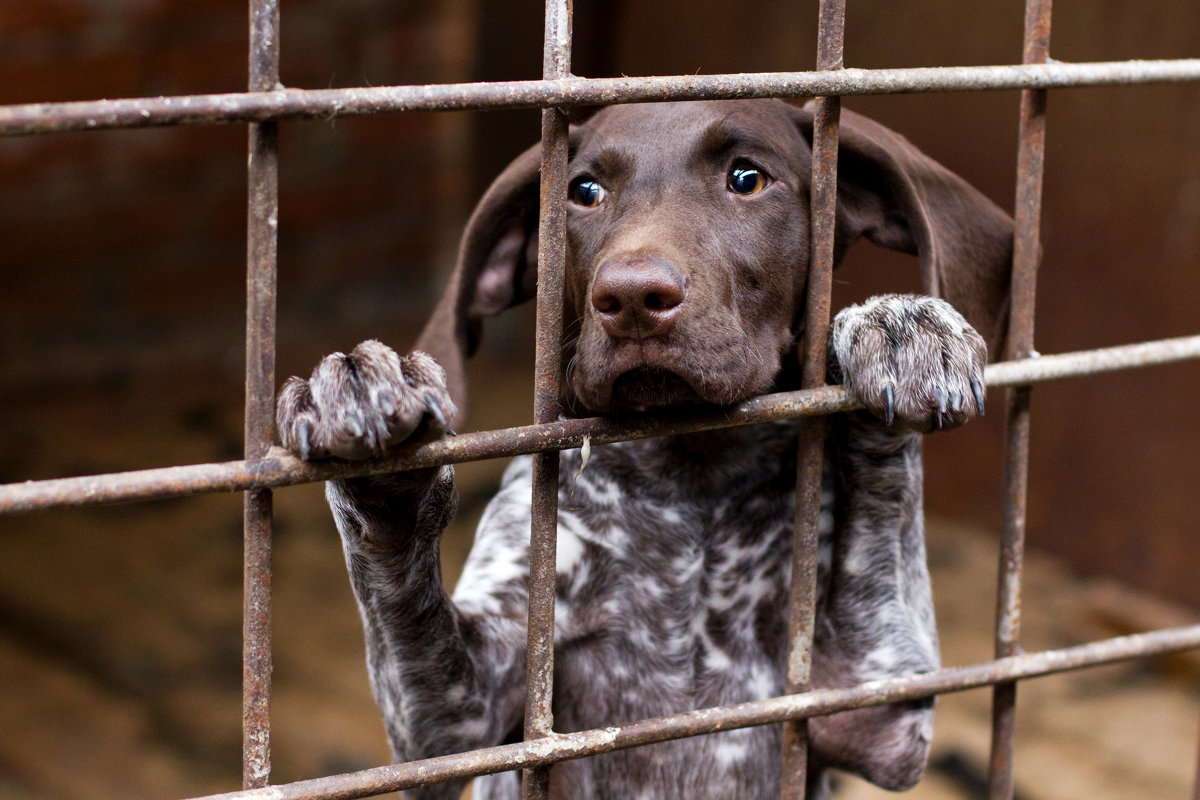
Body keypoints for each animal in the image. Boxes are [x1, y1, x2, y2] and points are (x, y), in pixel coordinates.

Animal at [274, 100, 1012, 800]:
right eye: (584, 191)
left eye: (747, 178)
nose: (630, 297)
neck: (693, 485)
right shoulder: (452, 723)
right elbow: (404, 592)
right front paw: (369, 424)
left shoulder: (869, 699)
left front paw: (901, 330)